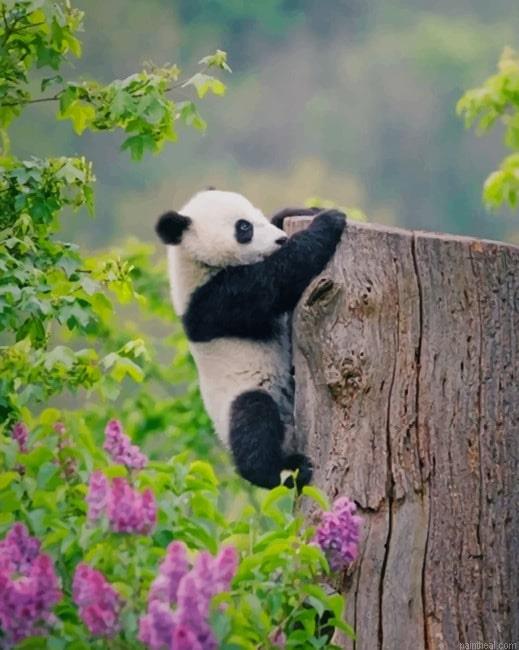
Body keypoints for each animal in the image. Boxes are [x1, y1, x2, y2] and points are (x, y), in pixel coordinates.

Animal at [155, 189, 346, 490]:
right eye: (244, 228)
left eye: (257, 215)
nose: (280, 240)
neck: (195, 264)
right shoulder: (217, 301)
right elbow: (275, 278)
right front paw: (327, 222)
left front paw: (307, 210)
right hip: (239, 398)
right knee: (253, 421)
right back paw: (285, 469)